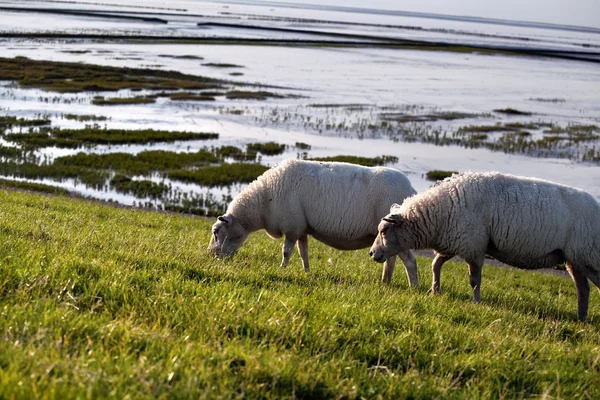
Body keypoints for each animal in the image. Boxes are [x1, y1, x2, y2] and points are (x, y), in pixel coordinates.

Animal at [209, 158, 420, 286]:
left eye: (216, 231)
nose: (210, 256)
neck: (263, 202)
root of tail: (412, 191)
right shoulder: (301, 228)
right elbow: (303, 253)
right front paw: (307, 273)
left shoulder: (292, 227)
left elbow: (286, 252)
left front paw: (281, 269)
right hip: (389, 238)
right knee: (391, 259)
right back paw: (385, 282)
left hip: (398, 234)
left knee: (410, 261)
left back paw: (414, 288)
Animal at [368, 170, 600, 320]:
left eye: (384, 230)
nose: (371, 254)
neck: (441, 212)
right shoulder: (457, 241)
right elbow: (436, 264)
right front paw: (435, 291)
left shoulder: (474, 247)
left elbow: (474, 280)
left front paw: (476, 303)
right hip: (573, 259)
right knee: (583, 289)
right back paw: (581, 318)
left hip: (589, 256)